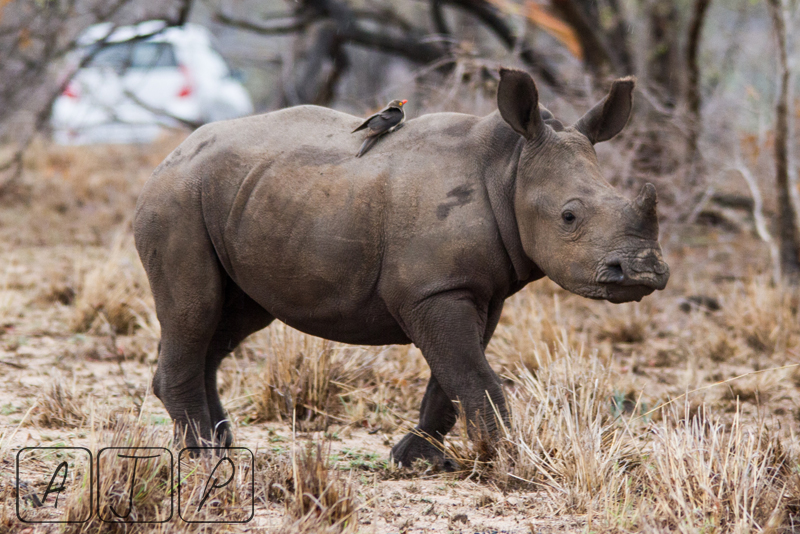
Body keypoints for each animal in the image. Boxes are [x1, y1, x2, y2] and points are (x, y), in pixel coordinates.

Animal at [134, 68, 669, 467]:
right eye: (569, 216)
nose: (643, 273)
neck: (511, 167)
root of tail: (171, 155)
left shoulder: (476, 288)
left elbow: (454, 375)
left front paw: (418, 459)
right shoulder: (434, 290)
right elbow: (469, 372)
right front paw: (507, 461)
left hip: (237, 197)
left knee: (230, 322)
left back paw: (219, 442)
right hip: (176, 199)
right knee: (195, 310)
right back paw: (205, 454)